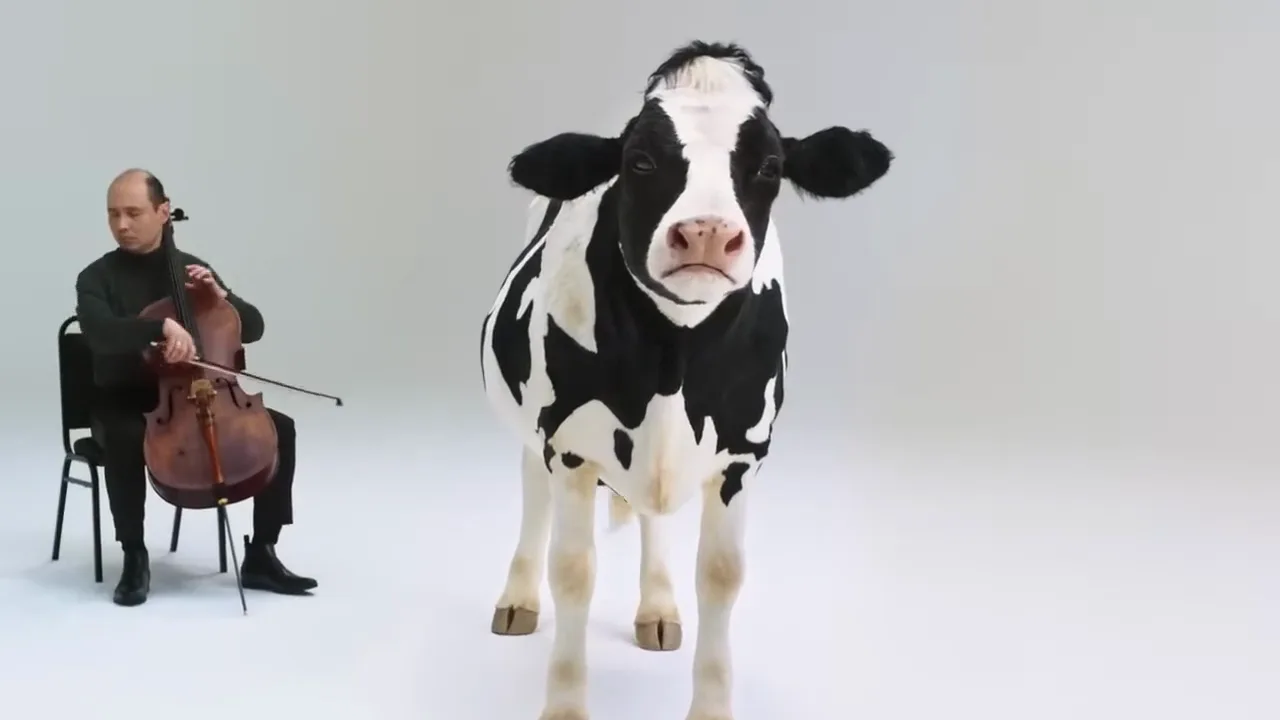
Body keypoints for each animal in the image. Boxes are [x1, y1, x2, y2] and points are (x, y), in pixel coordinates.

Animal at [479, 40, 892, 720]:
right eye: (640, 160)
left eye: (770, 166)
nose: (705, 232)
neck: (673, 359)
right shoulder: (568, 446)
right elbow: (574, 571)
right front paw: (564, 705)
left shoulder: (743, 455)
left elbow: (721, 575)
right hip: (532, 429)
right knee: (532, 495)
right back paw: (517, 600)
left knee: (653, 518)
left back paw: (657, 609)